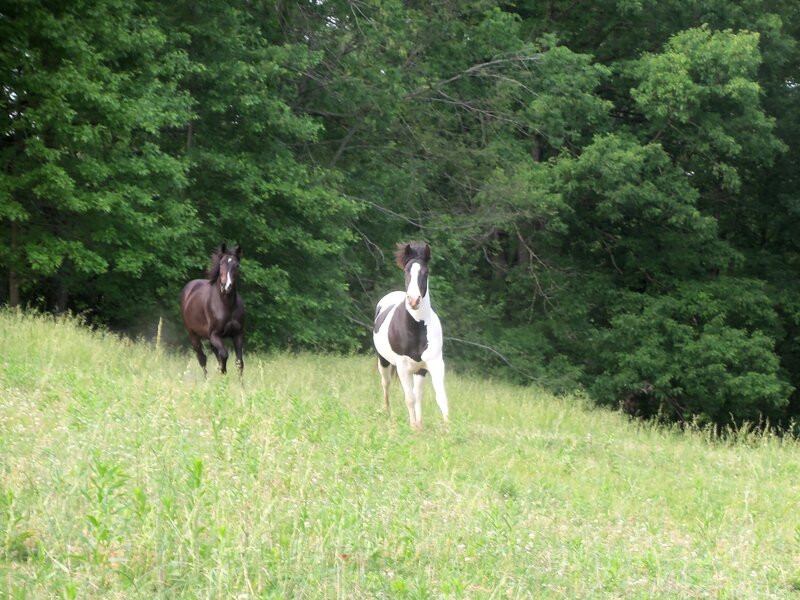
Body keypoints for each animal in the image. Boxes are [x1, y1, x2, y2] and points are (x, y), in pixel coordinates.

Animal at [180, 243, 245, 378]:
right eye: (221, 263)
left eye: (237, 265)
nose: (227, 287)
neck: (226, 305)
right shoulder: (215, 335)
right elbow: (224, 355)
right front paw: (222, 375)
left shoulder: (238, 334)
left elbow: (239, 363)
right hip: (193, 335)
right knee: (202, 358)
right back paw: (206, 380)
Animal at [372, 242, 449, 429]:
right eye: (407, 271)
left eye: (425, 272)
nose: (414, 300)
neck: (416, 329)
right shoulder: (402, 366)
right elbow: (409, 399)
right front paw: (413, 427)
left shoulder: (435, 363)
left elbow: (441, 397)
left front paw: (448, 428)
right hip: (383, 361)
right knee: (386, 383)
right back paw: (387, 411)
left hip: (420, 370)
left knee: (418, 393)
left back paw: (420, 423)